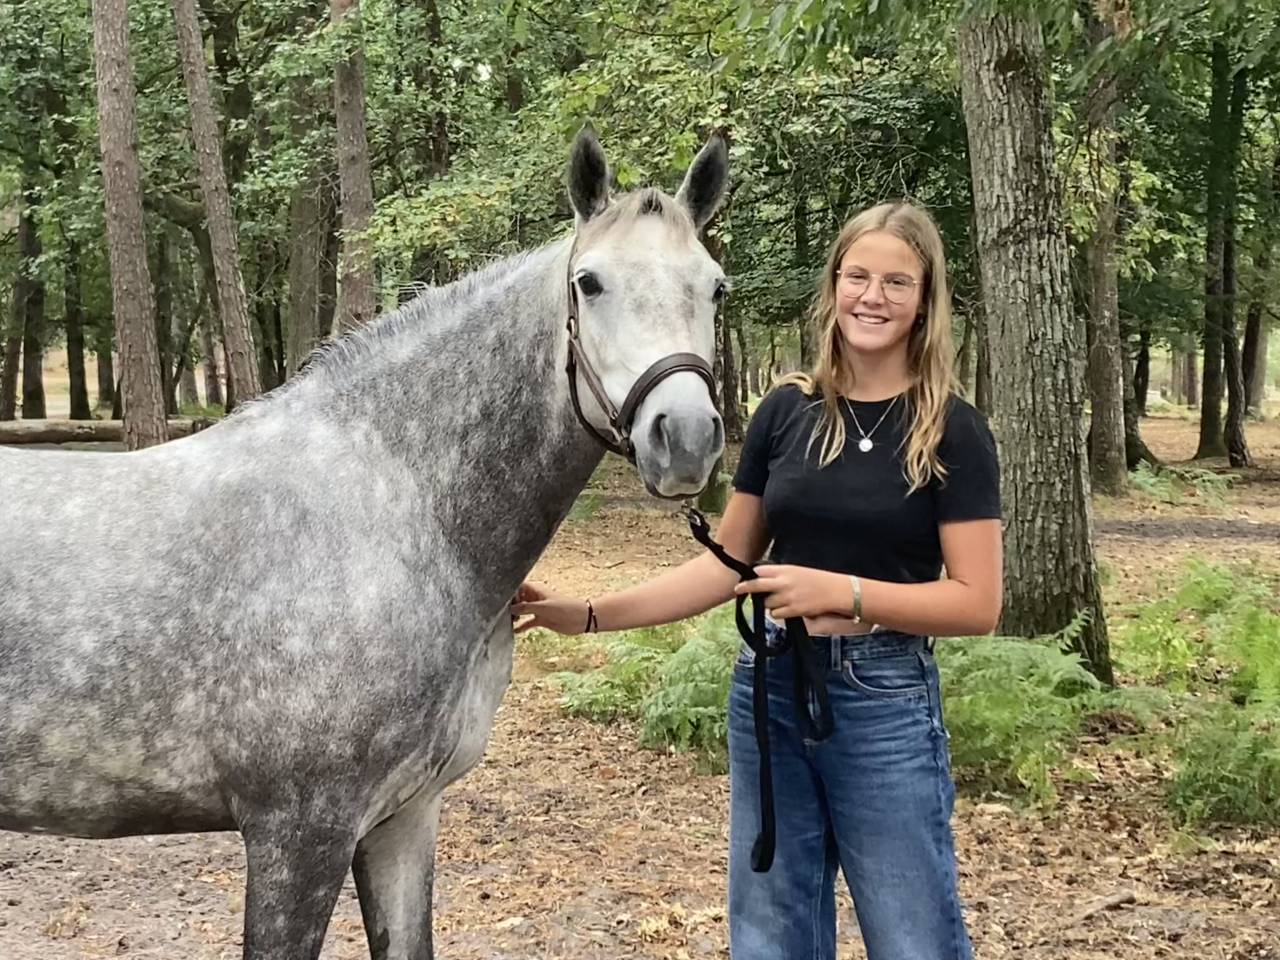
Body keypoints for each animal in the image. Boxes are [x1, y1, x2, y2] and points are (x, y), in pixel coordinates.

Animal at [0, 127, 729, 960]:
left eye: (715, 288)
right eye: (590, 282)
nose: (686, 438)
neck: (392, 512)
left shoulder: (403, 817)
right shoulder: (298, 833)